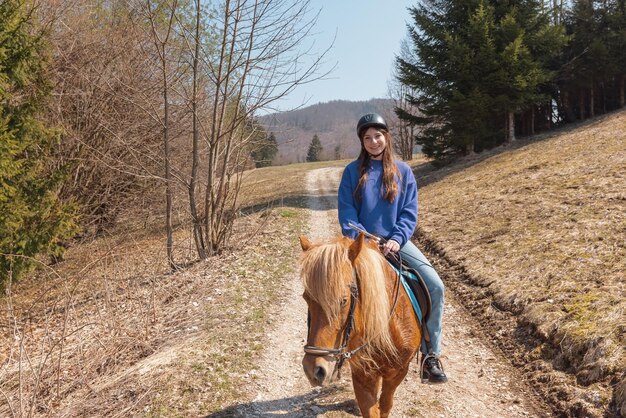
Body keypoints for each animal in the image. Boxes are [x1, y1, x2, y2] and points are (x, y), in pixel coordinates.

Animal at [298, 233, 420, 416]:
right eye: (306, 298)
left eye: (343, 300)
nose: (313, 370)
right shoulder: (363, 376)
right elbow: (371, 408)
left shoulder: (398, 372)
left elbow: (386, 404)